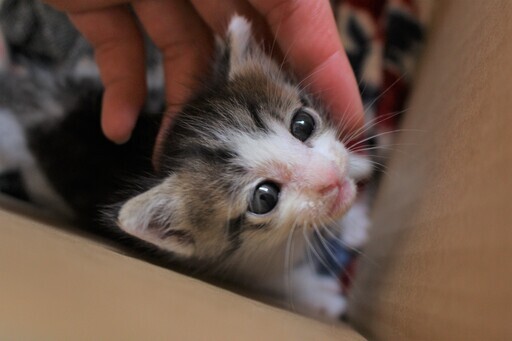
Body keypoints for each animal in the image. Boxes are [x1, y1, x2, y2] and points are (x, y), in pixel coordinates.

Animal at [0, 16, 368, 322]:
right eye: (264, 198)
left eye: (302, 124)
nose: (331, 179)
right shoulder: (228, 263)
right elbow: (274, 281)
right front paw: (318, 296)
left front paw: (355, 205)